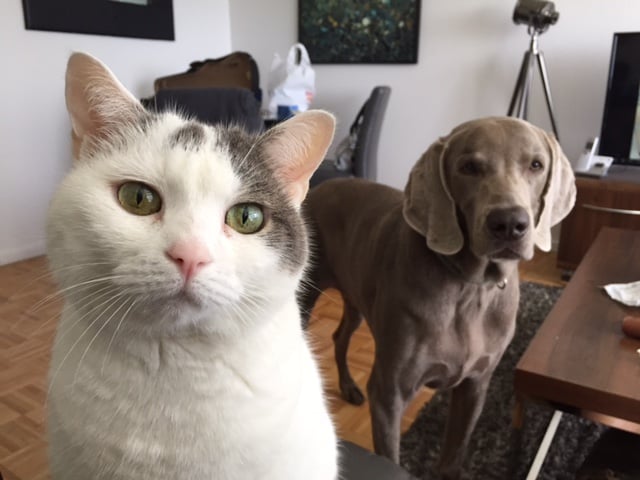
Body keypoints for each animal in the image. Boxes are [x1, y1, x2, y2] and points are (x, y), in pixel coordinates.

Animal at [299, 117, 576, 479]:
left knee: (340, 335)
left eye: (536, 165)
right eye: (469, 167)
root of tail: (319, 188)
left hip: (356, 295)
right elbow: (391, 457)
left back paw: (348, 387)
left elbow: (453, 455)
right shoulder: (389, 394)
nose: (509, 224)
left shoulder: (475, 385)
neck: (470, 286)